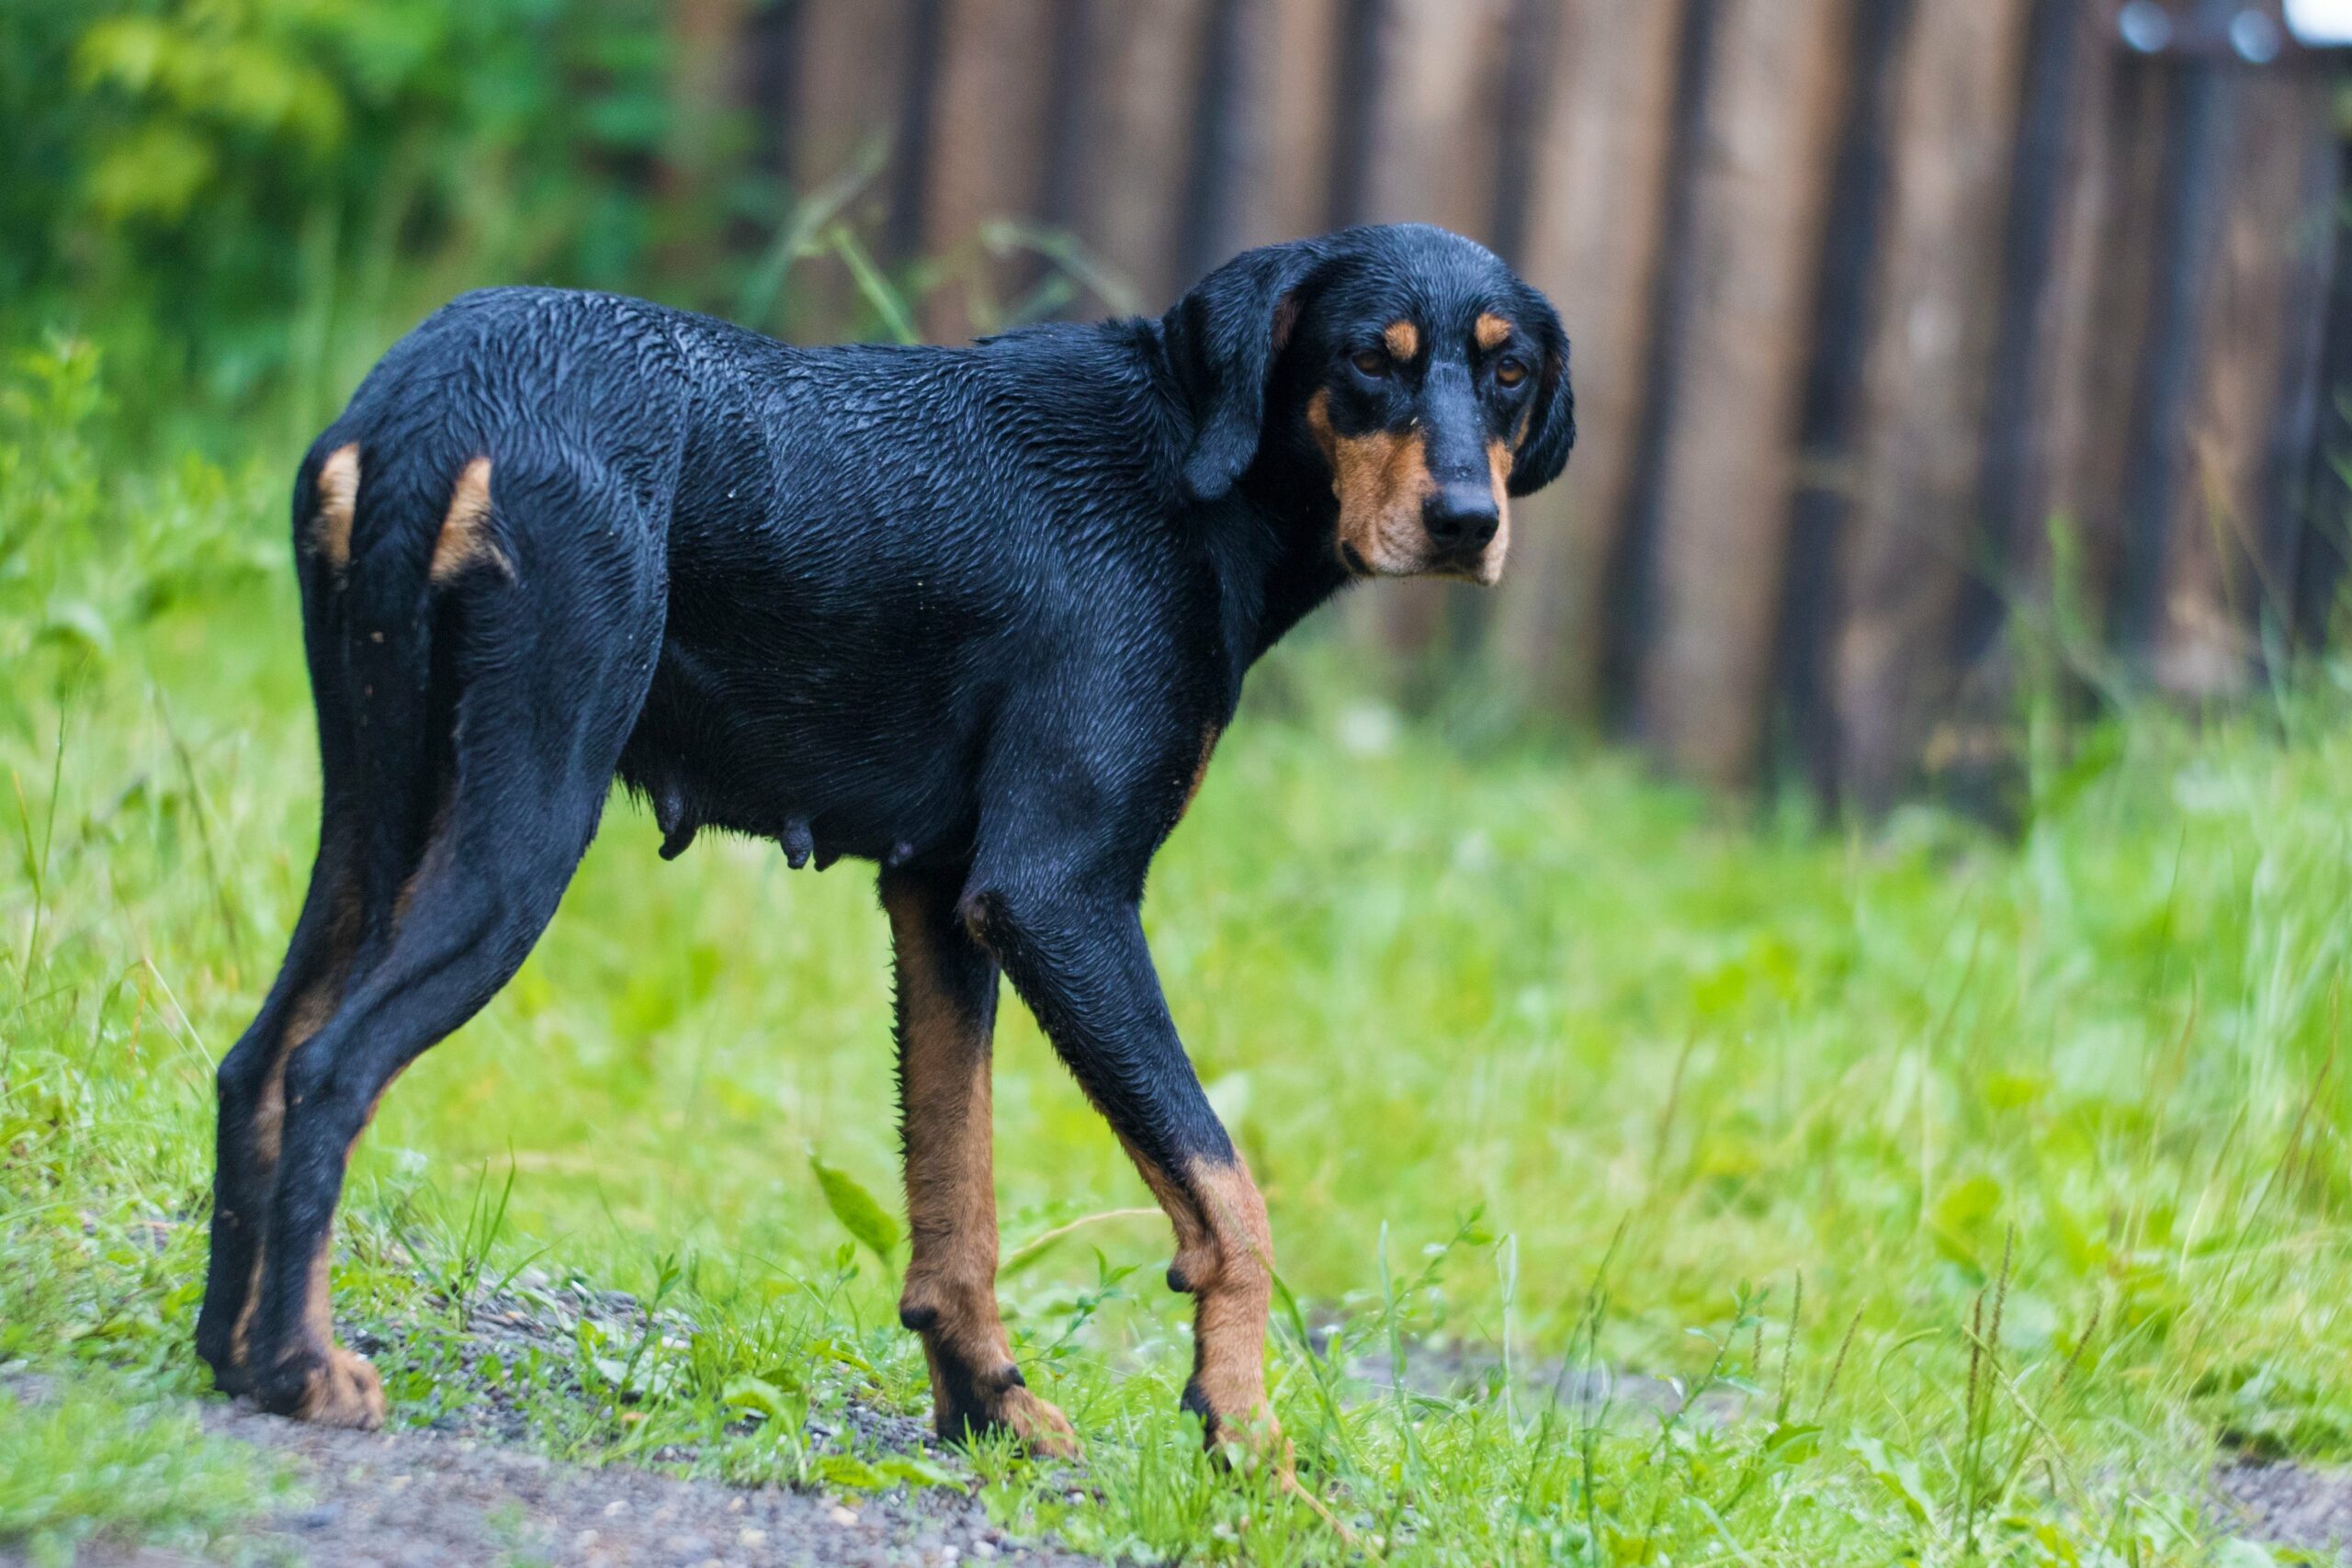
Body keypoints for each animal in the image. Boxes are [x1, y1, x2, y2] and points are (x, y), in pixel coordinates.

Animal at [192, 223, 1571, 1457]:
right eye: (1369, 359)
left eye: (1509, 372)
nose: (1466, 519)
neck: (1187, 471)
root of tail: (434, 397)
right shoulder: (1058, 893)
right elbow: (1229, 1193)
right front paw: (1246, 1432)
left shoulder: (938, 895)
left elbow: (959, 1200)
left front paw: (990, 1411)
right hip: (522, 823)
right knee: (331, 1065)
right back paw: (301, 1367)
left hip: (380, 810)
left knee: (258, 1059)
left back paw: (230, 1351)